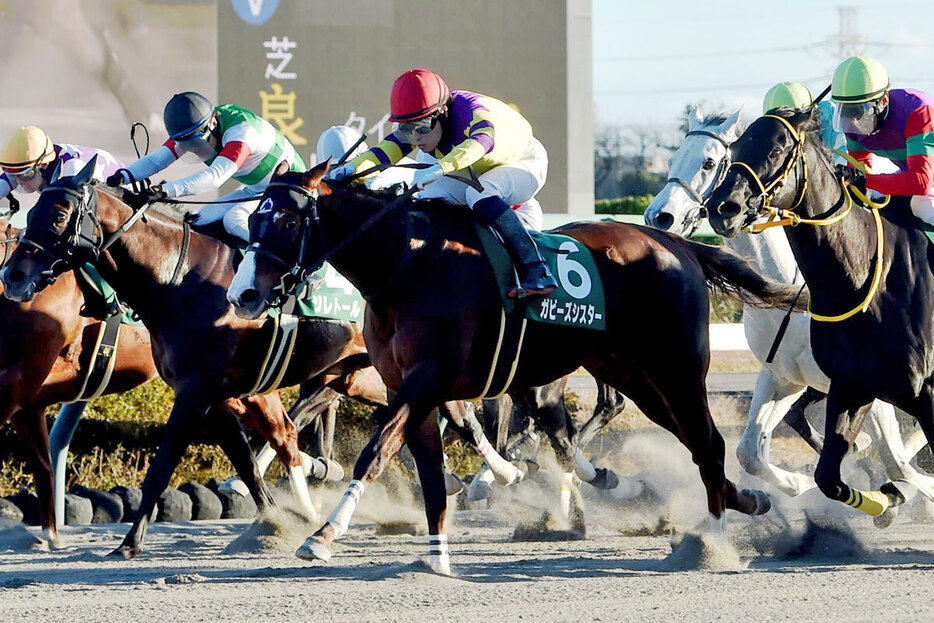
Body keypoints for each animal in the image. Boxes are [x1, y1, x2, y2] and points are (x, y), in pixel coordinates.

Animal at [229, 162, 812, 576]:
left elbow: (375, 453)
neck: (407, 265)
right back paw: (748, 500)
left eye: (286, 220)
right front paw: (435, 558)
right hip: (636, 376)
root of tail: (676, 243)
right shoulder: (408, 390)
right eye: (253, 218)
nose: (244, 295)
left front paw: (322, 537)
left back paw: (710, 544)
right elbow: (431, 475)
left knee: (708, 444)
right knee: (695, 443)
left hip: (677, 370)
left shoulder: (425, 382)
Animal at [708, 109, 934, 520]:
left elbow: (894, 458)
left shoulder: (917, 392)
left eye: (776, 149)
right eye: (734, 150)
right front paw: (887, 496)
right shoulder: (832, 383)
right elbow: (817, 471)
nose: (721, 208)